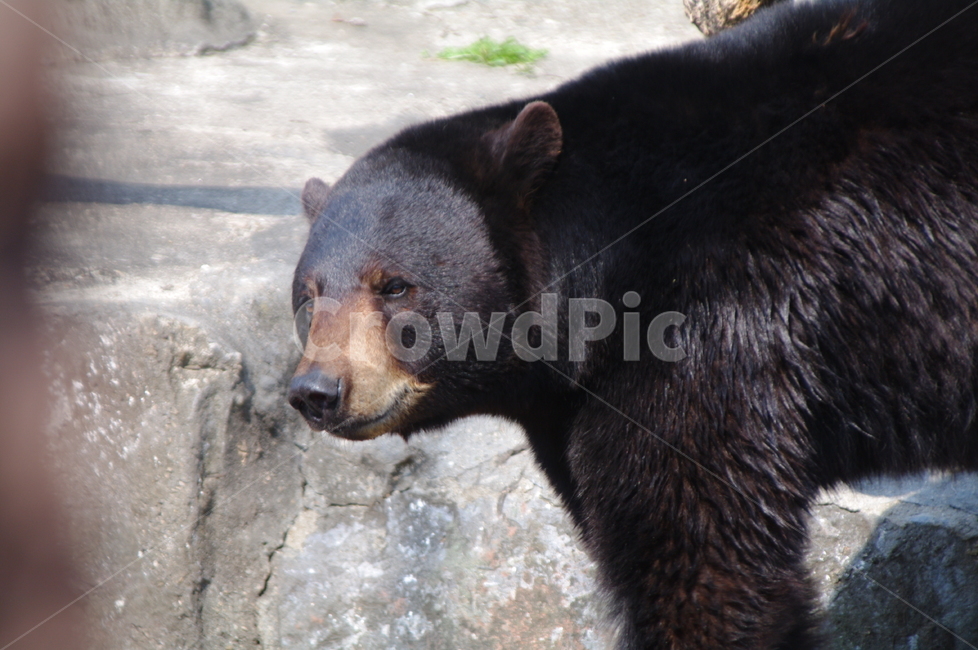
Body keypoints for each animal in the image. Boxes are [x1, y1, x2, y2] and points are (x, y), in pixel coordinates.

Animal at [287, 0, 978, 647]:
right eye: (309, 297)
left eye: (394, 285)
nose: (317, 391)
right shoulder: (573, 403)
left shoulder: (707, 330)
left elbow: (701, 551)